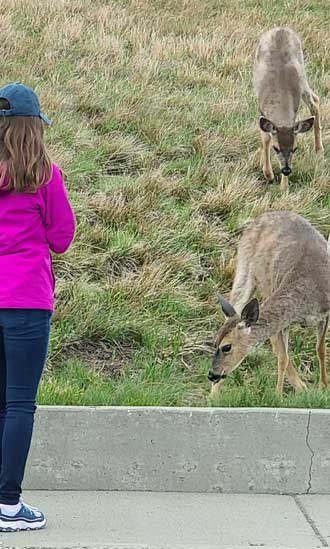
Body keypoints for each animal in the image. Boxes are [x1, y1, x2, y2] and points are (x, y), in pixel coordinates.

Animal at [209, 210, 330, 394]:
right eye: (214, 342)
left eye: (226, 346)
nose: (211, 374)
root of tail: (261, 216)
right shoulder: (284, 320)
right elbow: (283, 357)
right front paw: (278, 395)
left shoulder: (325, 315)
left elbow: (321, 350)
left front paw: (323, 387)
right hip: (247, 271)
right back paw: (213, 395)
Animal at [254, 27, 324, 191]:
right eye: (276, 148)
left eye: (295, 148)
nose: (286, 170)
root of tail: (281, 28)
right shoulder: (261, 109)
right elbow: (265, 138)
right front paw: (268, 174)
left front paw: (283, 187)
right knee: (315, 99)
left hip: (302, 75)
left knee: (314, 100)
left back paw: (319, 149)